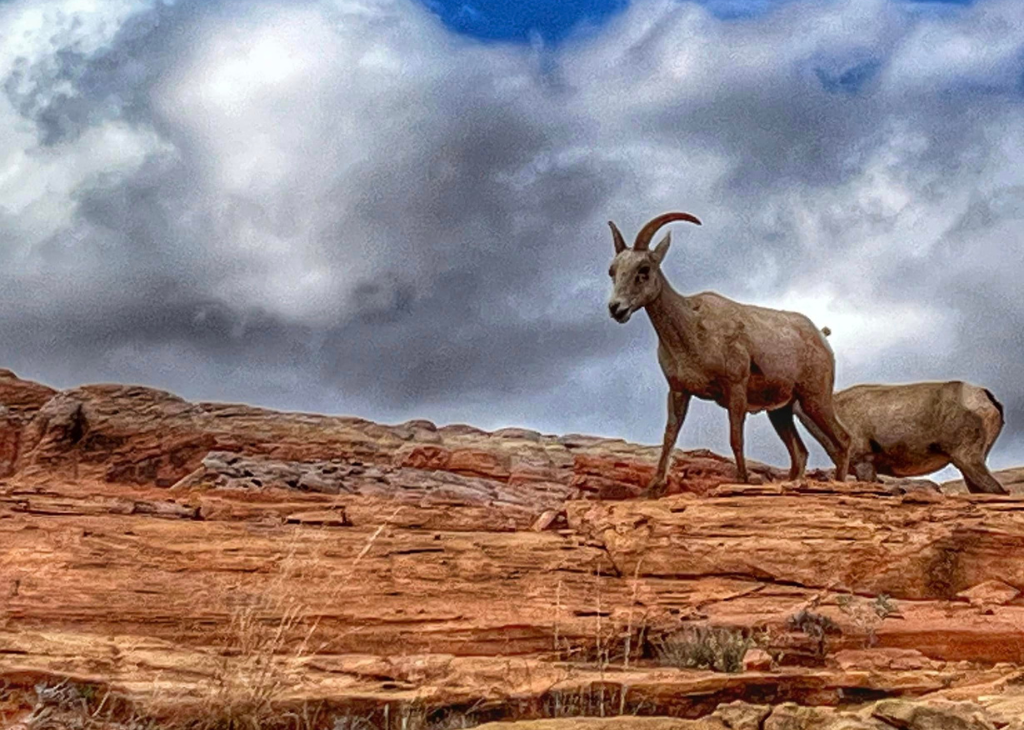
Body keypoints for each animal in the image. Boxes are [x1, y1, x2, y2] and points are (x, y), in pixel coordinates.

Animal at [606, 211, 851, 496]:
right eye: (612, 271)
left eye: (643, 270)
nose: (616, 308)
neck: (693, 330)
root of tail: (821, 337)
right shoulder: (678, 391)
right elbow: (669, 436)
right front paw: (654, 487)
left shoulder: (735, 389)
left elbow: (736, 438)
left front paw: (742, 481)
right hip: (781, 411)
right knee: (800, 454)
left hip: (814, 399)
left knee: (842, 441)